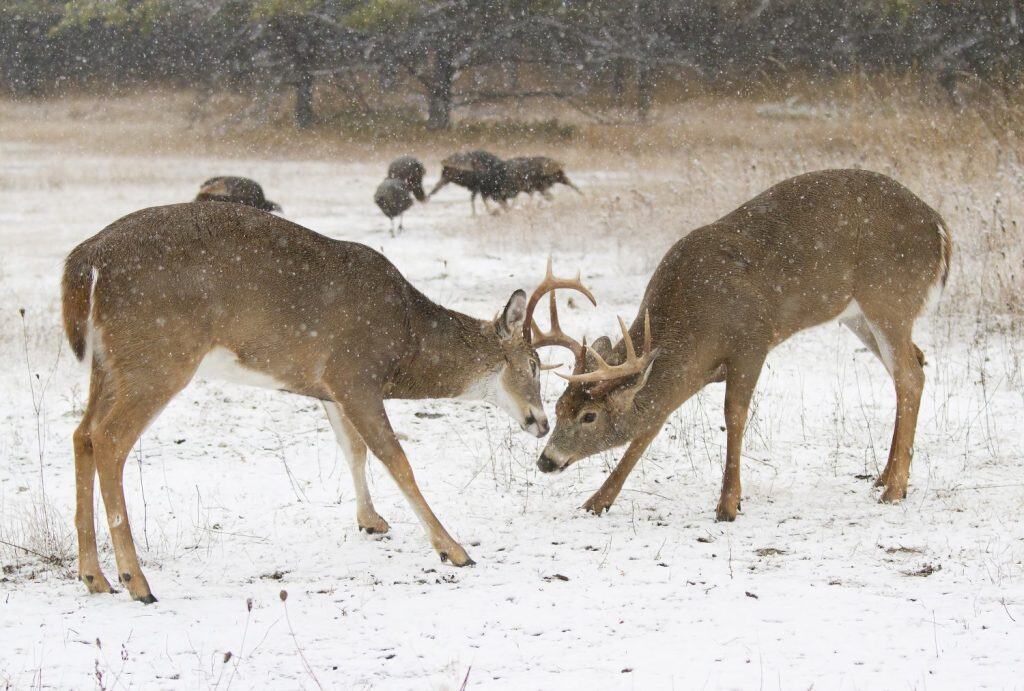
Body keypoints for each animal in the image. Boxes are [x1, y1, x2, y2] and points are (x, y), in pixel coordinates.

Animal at [61, 202, 593, 603]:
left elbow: (353, 450)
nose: (539, 421)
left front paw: (372, 522)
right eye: (532, 364)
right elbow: (396, 458)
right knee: (109, 439)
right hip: (159, 355)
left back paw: (94, 576)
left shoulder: (329, 388)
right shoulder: (356, 373)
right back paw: (137, 582)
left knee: (81, 433)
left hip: (110, 364)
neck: (407, 339)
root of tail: (86, 260)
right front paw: (453, 549)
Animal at [535, 169, 953, 521]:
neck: (694, 318)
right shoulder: (695, 371)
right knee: (910, 366)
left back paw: (894, 490)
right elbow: (652, 424)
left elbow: (733, 415)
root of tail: (939, 226)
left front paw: (728, 504)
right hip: (858, 315)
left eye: (589, 416)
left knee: (910, 375)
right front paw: (596, 501)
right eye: (557, 407)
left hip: (888, 294)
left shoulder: (752, 341)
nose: (546, 460)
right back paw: (884, 476)